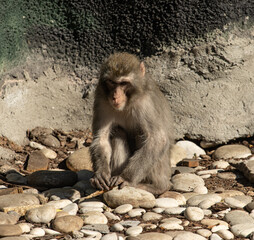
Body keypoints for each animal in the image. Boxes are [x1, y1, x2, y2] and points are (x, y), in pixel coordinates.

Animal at [89, 52, 175, 195]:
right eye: (111, 82)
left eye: (123, 83)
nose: (115, 96)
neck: (128, 103)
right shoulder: (102, 101)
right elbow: (101, 138)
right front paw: (101, 173)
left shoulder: (147, 104)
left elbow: (158, 140)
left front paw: (126, 178)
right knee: (117, 132)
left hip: (164, 169)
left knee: (142, 135)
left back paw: (157, 187)